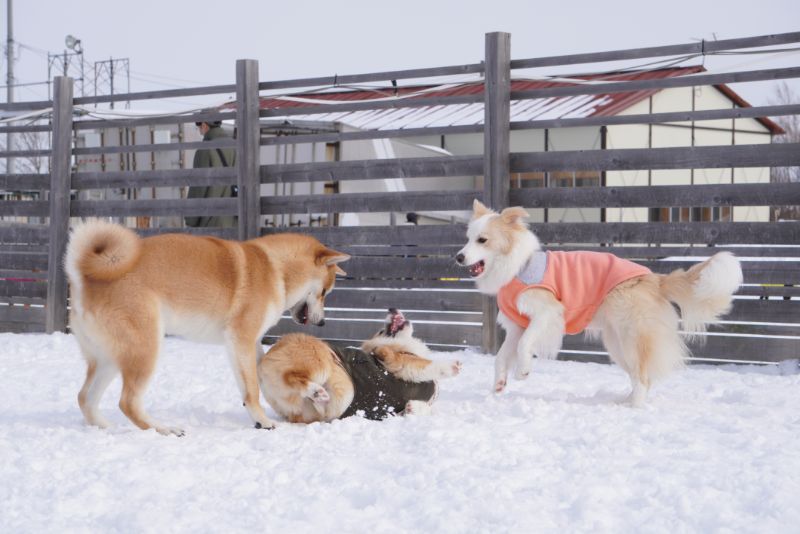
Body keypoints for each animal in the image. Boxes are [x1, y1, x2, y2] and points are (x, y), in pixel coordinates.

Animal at [65, 222, 346, 436]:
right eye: (325, 291)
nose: (322, 323)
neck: (275, 269)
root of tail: (86, 280)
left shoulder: (248, 344)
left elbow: (266, 372)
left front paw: (309, 390)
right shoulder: (241, 339)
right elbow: (252, 389)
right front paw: (263, 421)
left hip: (109, 359)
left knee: (84, 397)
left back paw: (104, 427)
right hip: (145, 348)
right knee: (128, 403)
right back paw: (165, 429)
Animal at [260, 310, 460, 422]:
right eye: (381, 329)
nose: (393, 309)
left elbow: (422, 408)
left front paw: (412, 408)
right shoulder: (395, 359)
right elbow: (427, 365)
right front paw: (453, 366)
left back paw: (318, 396)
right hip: (327, 367)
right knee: (292, 377)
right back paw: (315, 391)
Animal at [456, 200, 744, 406]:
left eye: (482, 240)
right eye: (467, 238)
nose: (458, 257)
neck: (517, 266)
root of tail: (654, 279)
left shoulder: (547, 313)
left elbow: (525, 344)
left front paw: (523, 372)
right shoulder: (517, 325)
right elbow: (502, 356)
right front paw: (498, 385)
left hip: (631, 337)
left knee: (642, 376)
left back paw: (634, 407)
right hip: (616, 343)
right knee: (639, 376)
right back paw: (624, 401)